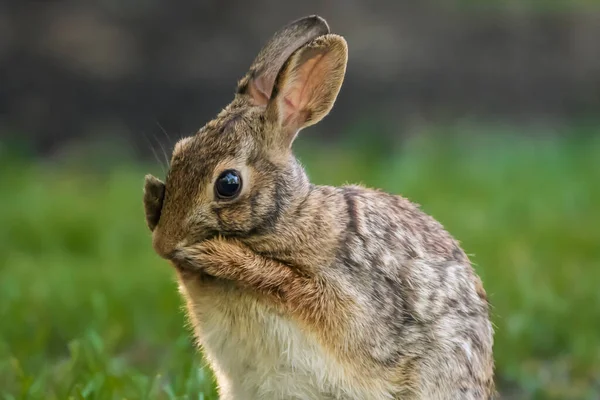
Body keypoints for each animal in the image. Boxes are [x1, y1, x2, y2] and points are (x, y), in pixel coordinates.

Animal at [143, 14, 494, 400]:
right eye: (179, 152)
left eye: (228, 184)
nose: (162, 243)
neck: (287, 220)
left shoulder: (346, 298)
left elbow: (284, 282)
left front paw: (217, 256)